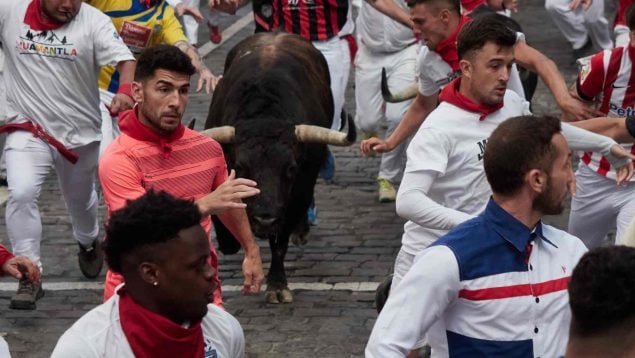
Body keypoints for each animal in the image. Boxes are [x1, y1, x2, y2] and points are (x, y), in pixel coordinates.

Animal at [205, 32, 358, 304]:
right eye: (240, 166)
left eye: (290, 168)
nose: (264, 219)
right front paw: (228, 241)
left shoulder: (297, 192)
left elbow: (280, 241)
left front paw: (277, 285)